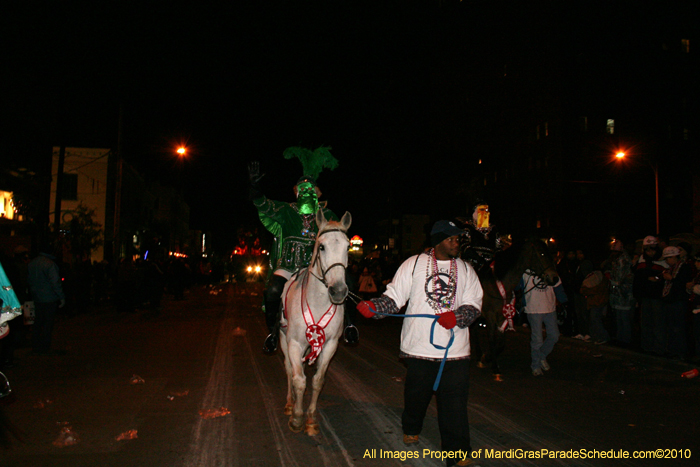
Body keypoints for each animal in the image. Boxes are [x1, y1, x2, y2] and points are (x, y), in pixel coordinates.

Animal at [278, 210, 352, 436]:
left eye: (348, 247)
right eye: (321, 246)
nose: (338, 291)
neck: (318, 302)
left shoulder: (329, 345)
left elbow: (318, 380)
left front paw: (310, 418)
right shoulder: (294, 343)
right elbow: (299, 379)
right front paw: (296, 418)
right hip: (283, 340)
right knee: (289, 369)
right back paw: (290, 403)